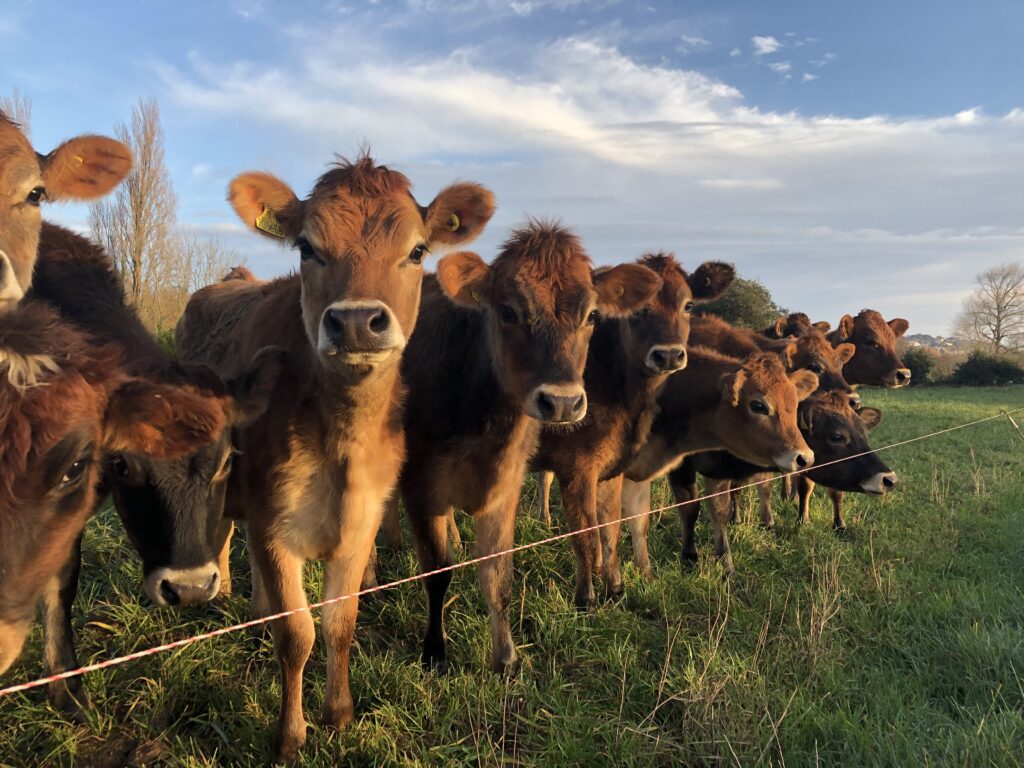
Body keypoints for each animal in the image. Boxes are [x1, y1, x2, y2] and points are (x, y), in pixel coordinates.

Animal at [177, 154, 496, 762]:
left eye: (417, 250)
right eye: (307, 246)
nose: (354, 322)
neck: (342, 445)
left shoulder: (363, 521)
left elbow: (340, 622)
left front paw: (339, 714)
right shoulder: (275, 526)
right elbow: (297, 633)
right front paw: (289, 737)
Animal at [399, 221, 661, 677]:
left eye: (592, 315)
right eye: (507, 312)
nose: (562, 402)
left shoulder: (508, 485)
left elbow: (500, 573)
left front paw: (505, 657)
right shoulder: (420, 488)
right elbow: (437, 572)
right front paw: (434, 653)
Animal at [529, 254, 734, 607]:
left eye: (688, 305)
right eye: (637, 310)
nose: (668, 354)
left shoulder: (613, 466)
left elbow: (613, 526)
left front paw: (616, 587)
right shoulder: (577, 467)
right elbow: (586, 535)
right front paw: (586, 601)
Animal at [620, 348, 818, 576]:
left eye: (794, 403)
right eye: (758, 405)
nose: (804, 457)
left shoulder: (719, 470)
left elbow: (723, 508)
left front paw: (725, 562)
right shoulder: (683, 467)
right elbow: (690, 507)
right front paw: (690, 556)